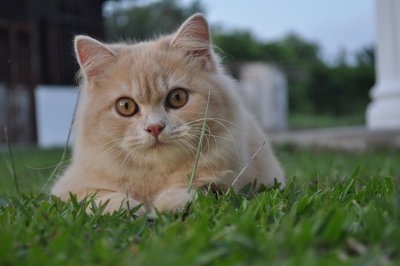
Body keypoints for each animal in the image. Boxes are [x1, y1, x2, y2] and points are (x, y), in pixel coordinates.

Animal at [51, 13, 284, 215]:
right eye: (125, 106)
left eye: (177, 98)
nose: (155, 127)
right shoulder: (69, 187)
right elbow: (99, 196)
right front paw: (125, 207)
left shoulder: (228, 181)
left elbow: (197, 188)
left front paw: (168, 205)